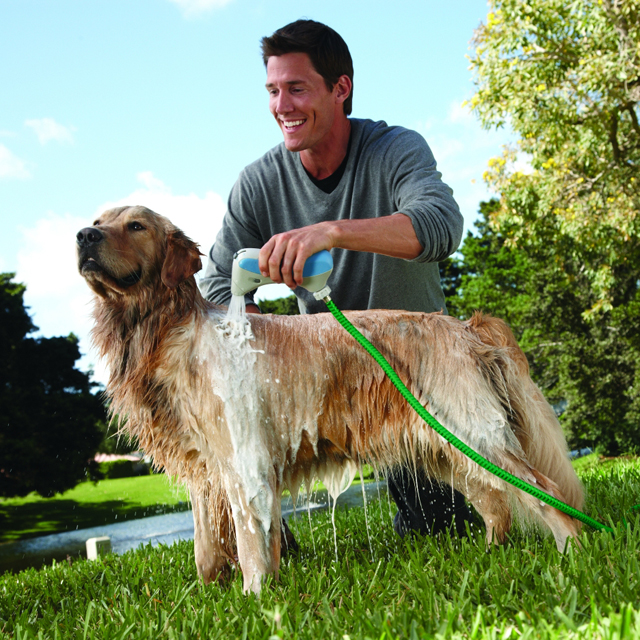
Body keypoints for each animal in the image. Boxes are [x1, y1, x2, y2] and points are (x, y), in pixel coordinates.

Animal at [77, 208, 584, 592]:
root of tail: (465, 326)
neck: (165, 330)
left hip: (475, 434)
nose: (84, 235)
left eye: (136, 225)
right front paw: (212, 594)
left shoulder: (244, 461)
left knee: (545, 492)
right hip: (447, 447)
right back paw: (490, 554)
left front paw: (255, 597)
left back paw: (574, 552)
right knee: (497, 504)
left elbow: (250, 544)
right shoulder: (203, 468)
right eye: (100, 219)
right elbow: (206, 551)